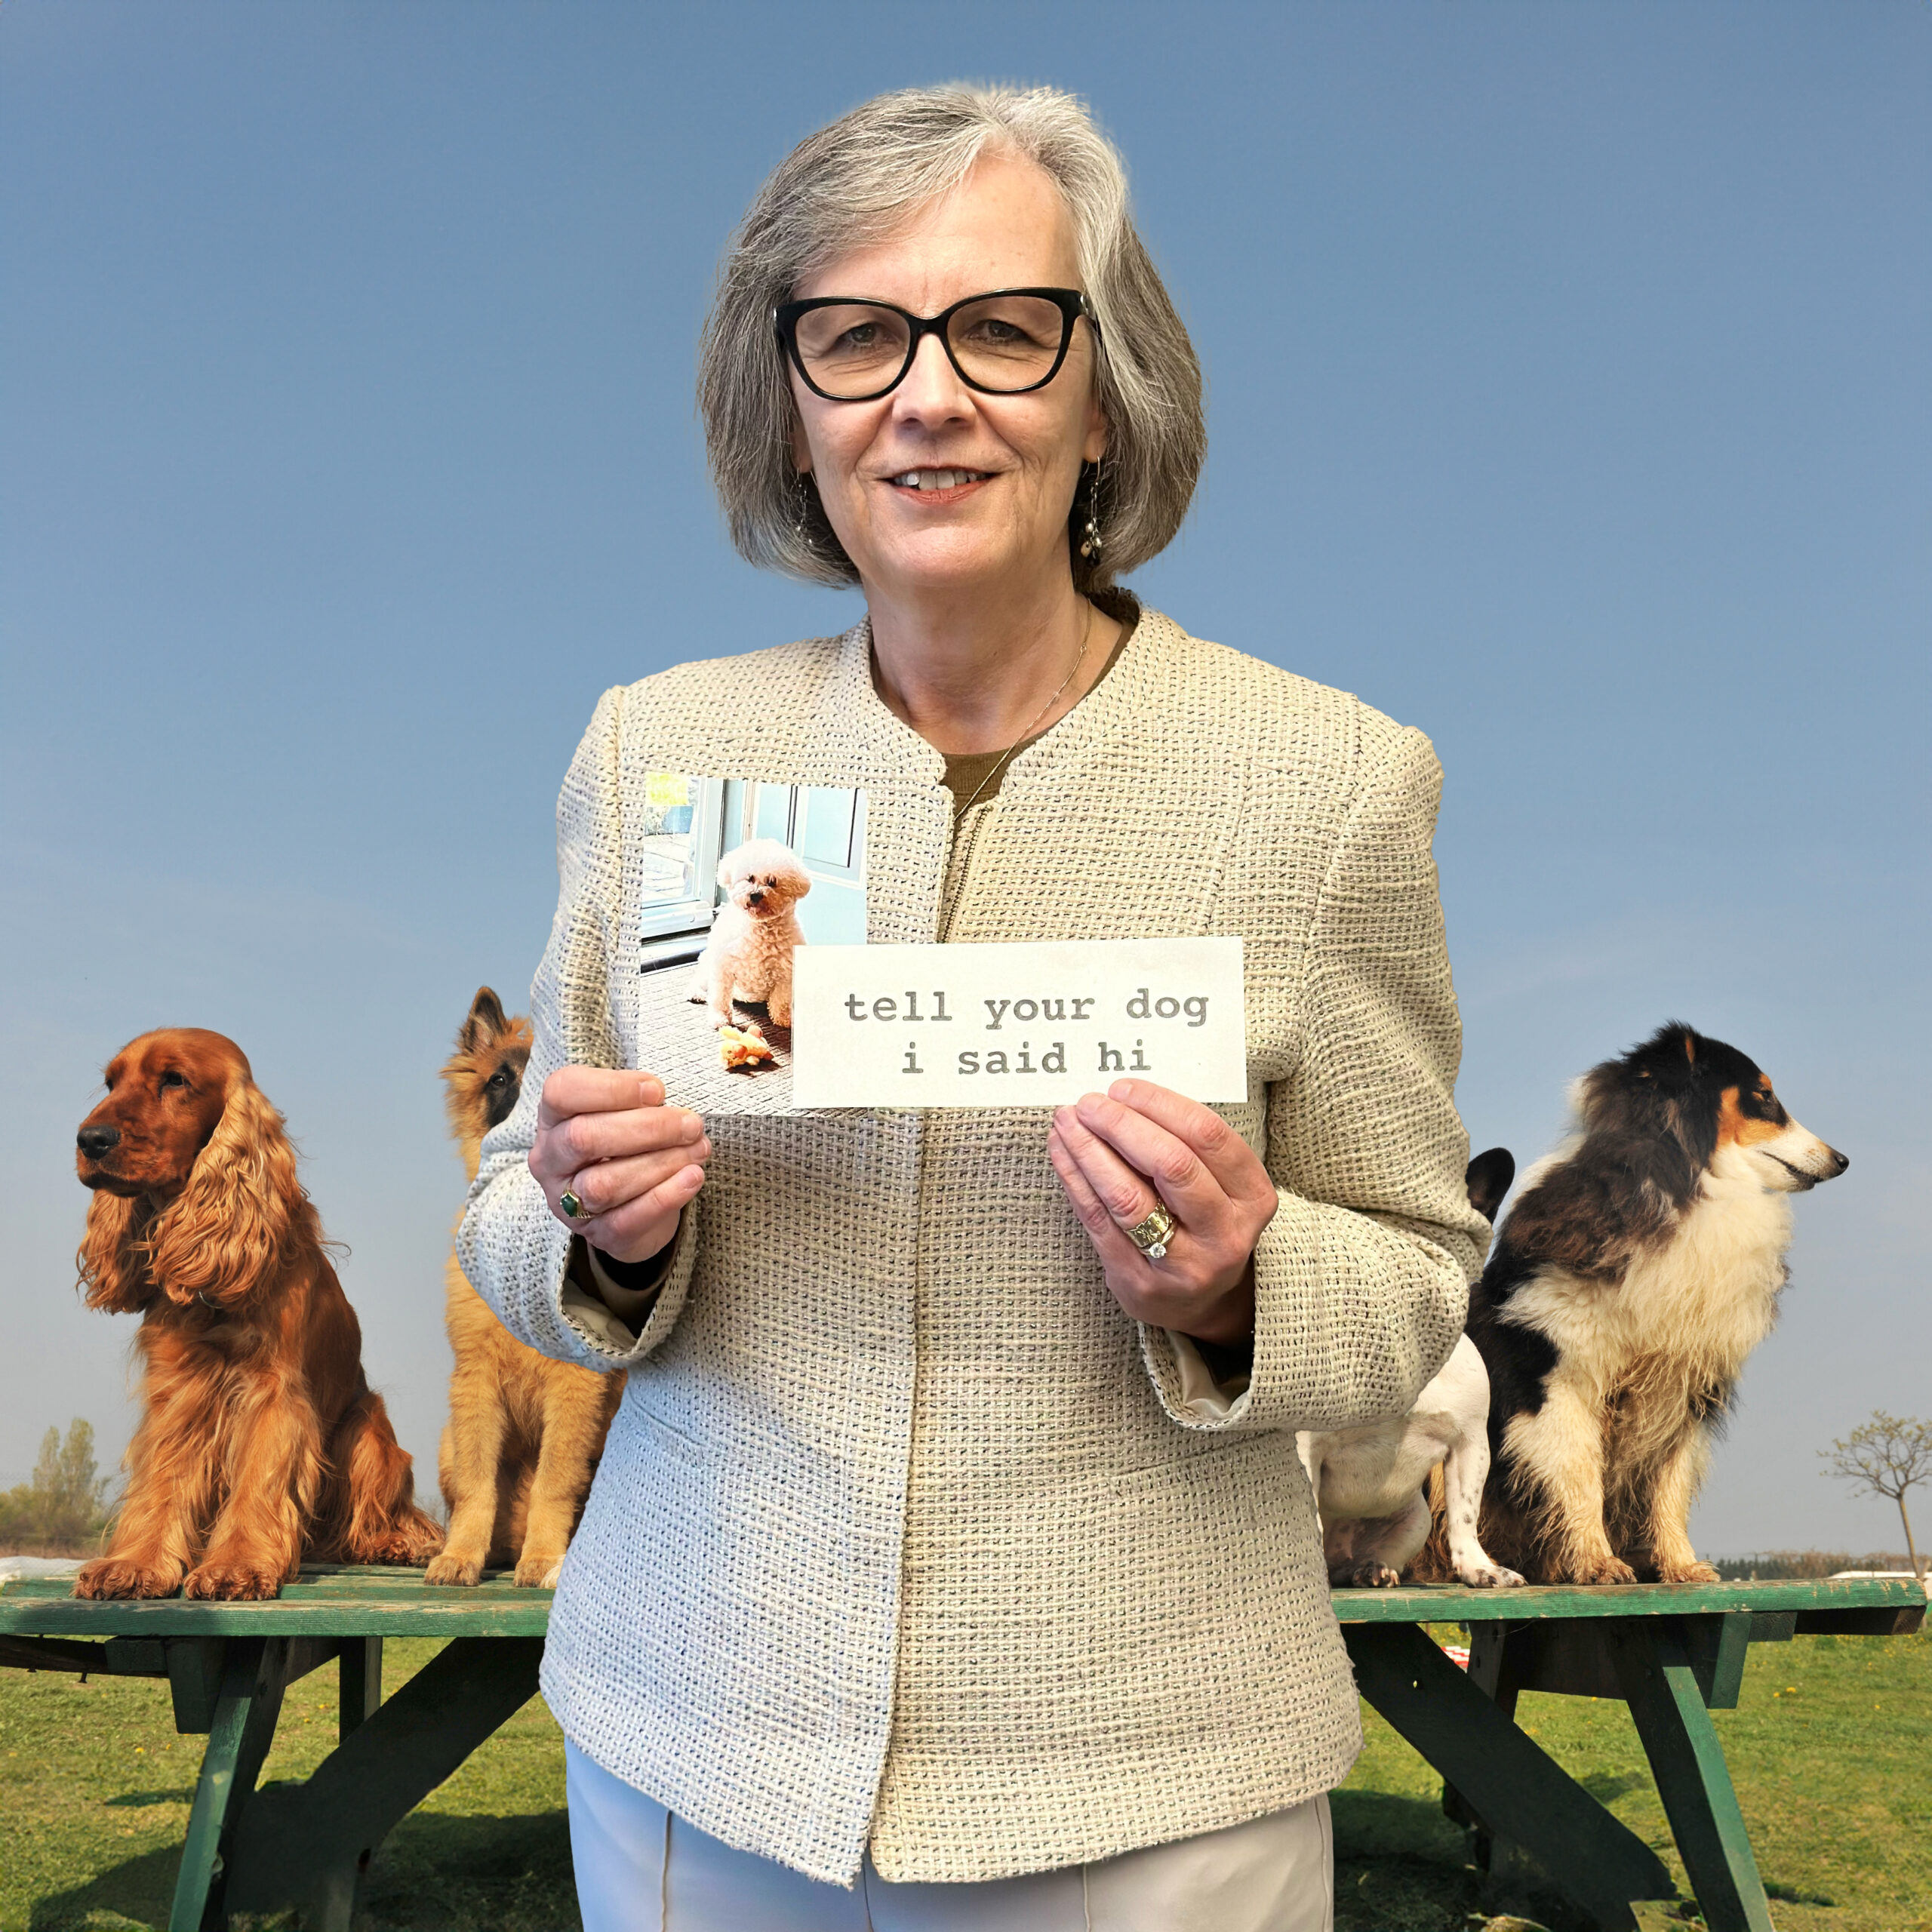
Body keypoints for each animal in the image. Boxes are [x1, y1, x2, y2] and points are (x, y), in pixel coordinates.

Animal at [425, 996, 618, 1584]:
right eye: (501, 1079)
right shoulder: (476, 1382)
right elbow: (477, 1485)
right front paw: (461, 1556)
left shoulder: (577, 1388)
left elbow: (554, 1482)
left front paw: (543, 1558)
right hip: (447, 1438)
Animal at [1468, 1027, 1847, 1584]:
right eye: (1763, 1095)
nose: (1842, 1160)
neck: (1691, 1188)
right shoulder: (1557, 1375)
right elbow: (1579, 1473)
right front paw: (1599, 1563)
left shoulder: (1683, 1384)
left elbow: (1669, 1482)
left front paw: (1682, 1566)